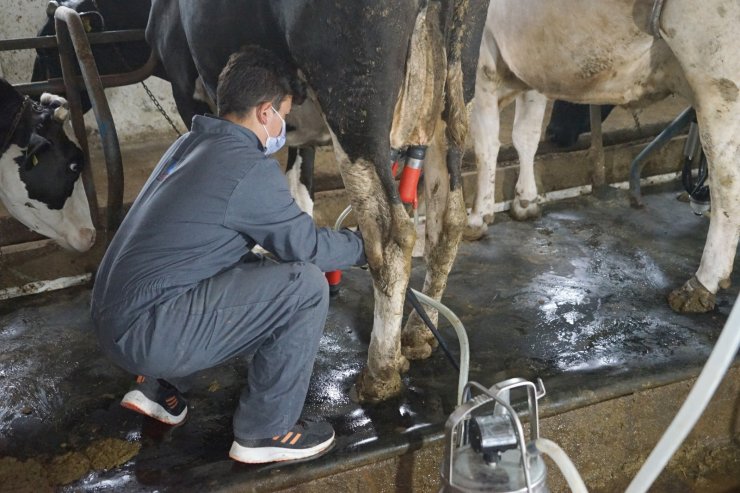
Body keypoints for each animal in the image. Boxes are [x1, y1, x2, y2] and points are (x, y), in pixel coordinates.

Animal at [147, 0, 488, 400]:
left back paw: (380, 372)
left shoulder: (186, 87)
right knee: (447, 218)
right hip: (453, 92)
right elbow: (299, 193)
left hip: (354, 105)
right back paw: (418, 334)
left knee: (391, 235)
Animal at [466, 0, 736, 312]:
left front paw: (476, 218)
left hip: (715, 79)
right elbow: (526, 134)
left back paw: (701, 284)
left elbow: (486, 143)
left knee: (726, 182)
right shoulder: (531, 62)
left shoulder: (482, 60)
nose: (556, 134)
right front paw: (525, 202)